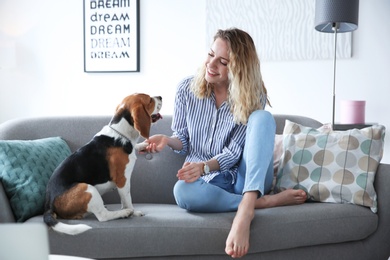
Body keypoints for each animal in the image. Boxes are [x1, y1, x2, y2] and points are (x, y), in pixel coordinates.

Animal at [43, 93, 162, 236]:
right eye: (149, 100)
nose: (160, 97)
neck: (121, 133)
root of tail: (49, 204)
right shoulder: (123, 180)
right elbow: (128, 200)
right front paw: (134, 212)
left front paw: (143, 144)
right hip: (88, 189)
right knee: (102, 216)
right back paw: (124, 213)